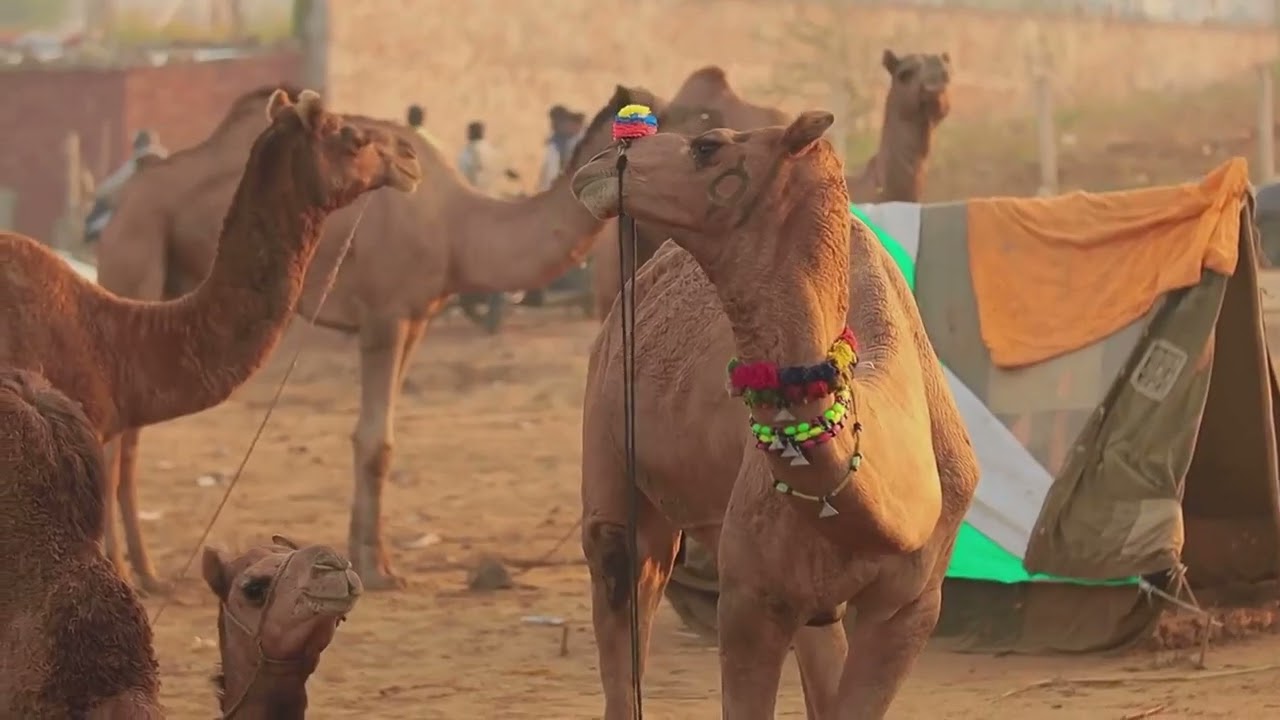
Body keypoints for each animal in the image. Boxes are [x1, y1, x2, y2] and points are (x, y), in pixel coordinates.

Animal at [96, 83, 657, 591]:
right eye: (660, 120)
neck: (459, 227)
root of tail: (122, 204)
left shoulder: (416, 319)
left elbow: (375, 439)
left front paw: (368, 558)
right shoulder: (385, 317)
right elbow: (374, 442)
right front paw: (377, 569)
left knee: (132, 437)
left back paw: (148, 572)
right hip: (135, 255)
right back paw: (124, 570)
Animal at [571, 112, 977, 718]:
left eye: (708, 146)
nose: (598, 165)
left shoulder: (912, 606)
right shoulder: (749, 597)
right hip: (608, 440)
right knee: (621, 569)